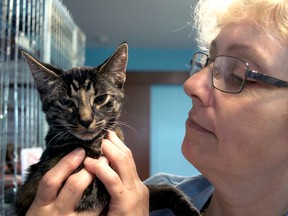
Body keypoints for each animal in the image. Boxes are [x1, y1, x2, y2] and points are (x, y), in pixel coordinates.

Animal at [12, 43, 198, 215]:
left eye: (100, 99)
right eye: (66, 102)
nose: (86, 120)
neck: (95, 144)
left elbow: (163, 189)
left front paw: (189, 209)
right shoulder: (89, 194)